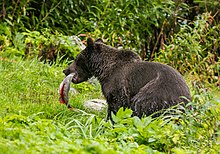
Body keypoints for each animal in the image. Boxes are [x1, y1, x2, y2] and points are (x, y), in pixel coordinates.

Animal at [63, 38, 191, 119]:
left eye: (77, 59)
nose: (65, 70)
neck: (104, 69)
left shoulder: (117, 85)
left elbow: (116, 106)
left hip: (156, 91)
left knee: (140, 106)